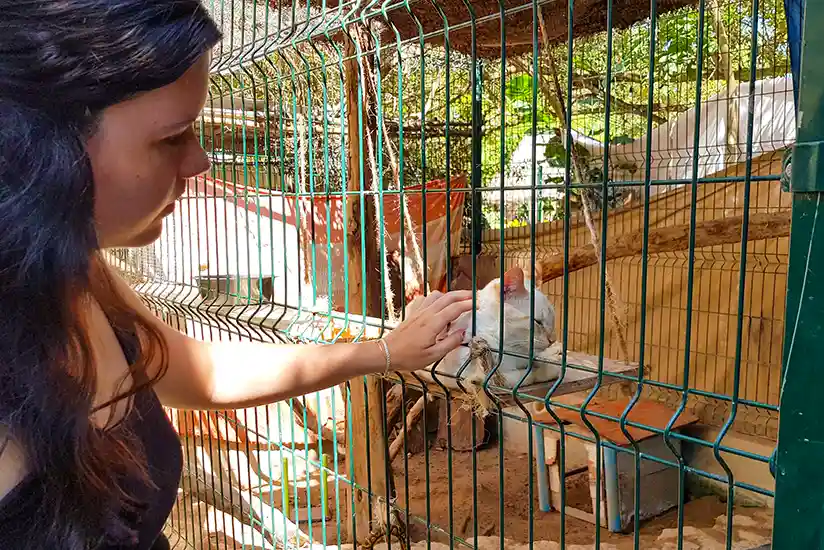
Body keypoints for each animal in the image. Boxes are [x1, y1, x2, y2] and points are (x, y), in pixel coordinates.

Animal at [408, 268, 568, 392]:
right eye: (538, 322)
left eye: (553, 320)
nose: (552, 339)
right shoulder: (475, 377)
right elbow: (527, 376)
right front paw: (549, 368)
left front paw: (552, 356)